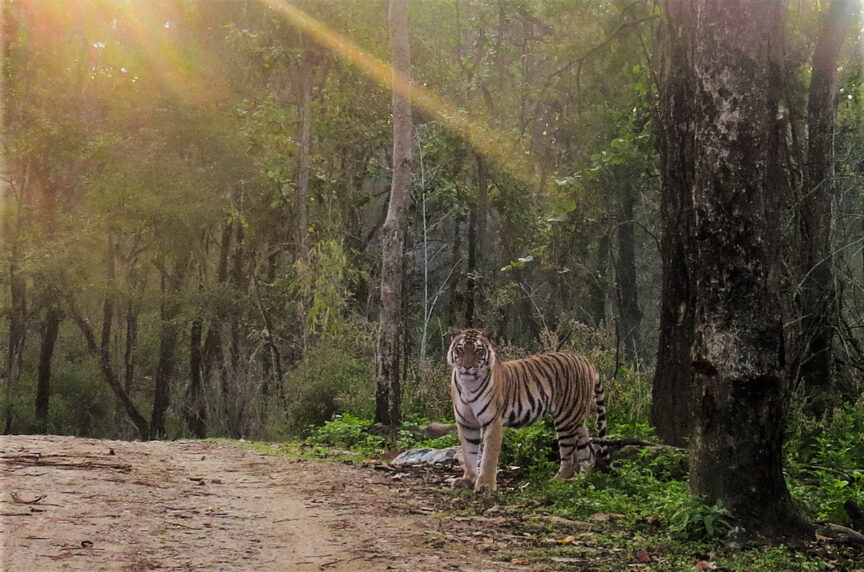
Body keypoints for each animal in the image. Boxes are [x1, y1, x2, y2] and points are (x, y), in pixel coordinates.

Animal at [447, 328, 609, 493]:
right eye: (460, 349)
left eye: (478, 350)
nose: (467, 367)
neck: (468, 384)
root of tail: (586, 361)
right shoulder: (466, 422)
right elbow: (469, 452)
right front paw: (467, 480)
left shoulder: (492, 421)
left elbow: (488, 455)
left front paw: (485, 485)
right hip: (575, 416)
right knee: (588, 451)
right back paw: (580, 480)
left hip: (566, 419)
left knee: (570, 457)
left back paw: (556, 482)